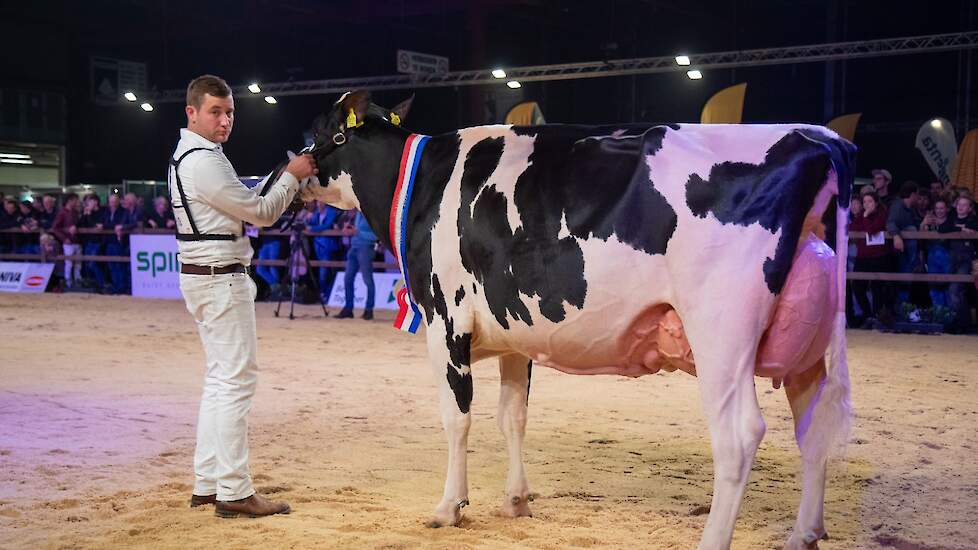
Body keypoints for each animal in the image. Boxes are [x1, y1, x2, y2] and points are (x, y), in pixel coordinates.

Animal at [302, 91, 852, 550]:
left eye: (320, 131)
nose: (287, 164)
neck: (420, 185)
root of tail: (817, 138)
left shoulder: (445, 322)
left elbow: (457, 419)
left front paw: (448, 507)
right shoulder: (513, 334)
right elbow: (512, 416)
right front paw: (516, 500)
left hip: (721, 332)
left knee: (738, 437)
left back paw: (715, 541)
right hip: (804, 344)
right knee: (814, 429)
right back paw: (804, 533)